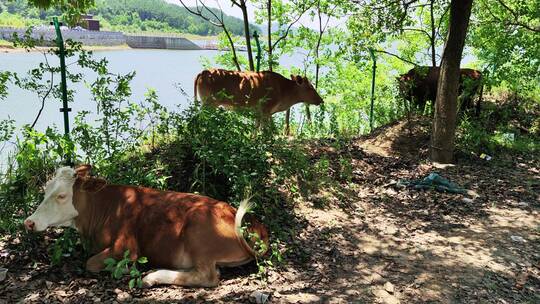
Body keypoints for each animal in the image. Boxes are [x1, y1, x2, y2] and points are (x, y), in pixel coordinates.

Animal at [24, 166, 268, 288]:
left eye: (62, 195)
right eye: (45, 191)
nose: (29, 221)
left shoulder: (126, 247)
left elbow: (91, 263)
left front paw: (125, 269)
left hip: (199, 232)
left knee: (208, 276)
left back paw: (151, 276)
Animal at [193, 68, 322, 118]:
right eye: (310, 87)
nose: (321, 100)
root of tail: (203, 72)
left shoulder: (258, 112)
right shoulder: (265, 109)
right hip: (208, 102)